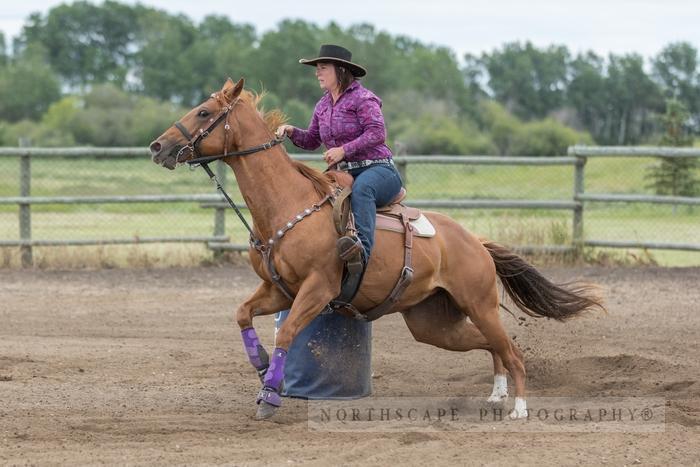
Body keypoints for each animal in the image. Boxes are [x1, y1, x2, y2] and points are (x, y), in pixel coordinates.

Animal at [150, 78, 604, 422]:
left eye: (203, 112)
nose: (157, 146)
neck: (288, 205)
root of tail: (475, 242)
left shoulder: (317, 289)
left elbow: (290, 333)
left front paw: (270, 396)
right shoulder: (280, 290)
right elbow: (242, 313)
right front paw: (261, 363)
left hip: (479, 303)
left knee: (511, 348)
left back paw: (519, 407)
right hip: (433, 323)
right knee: (494, 345)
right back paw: (496, 393)